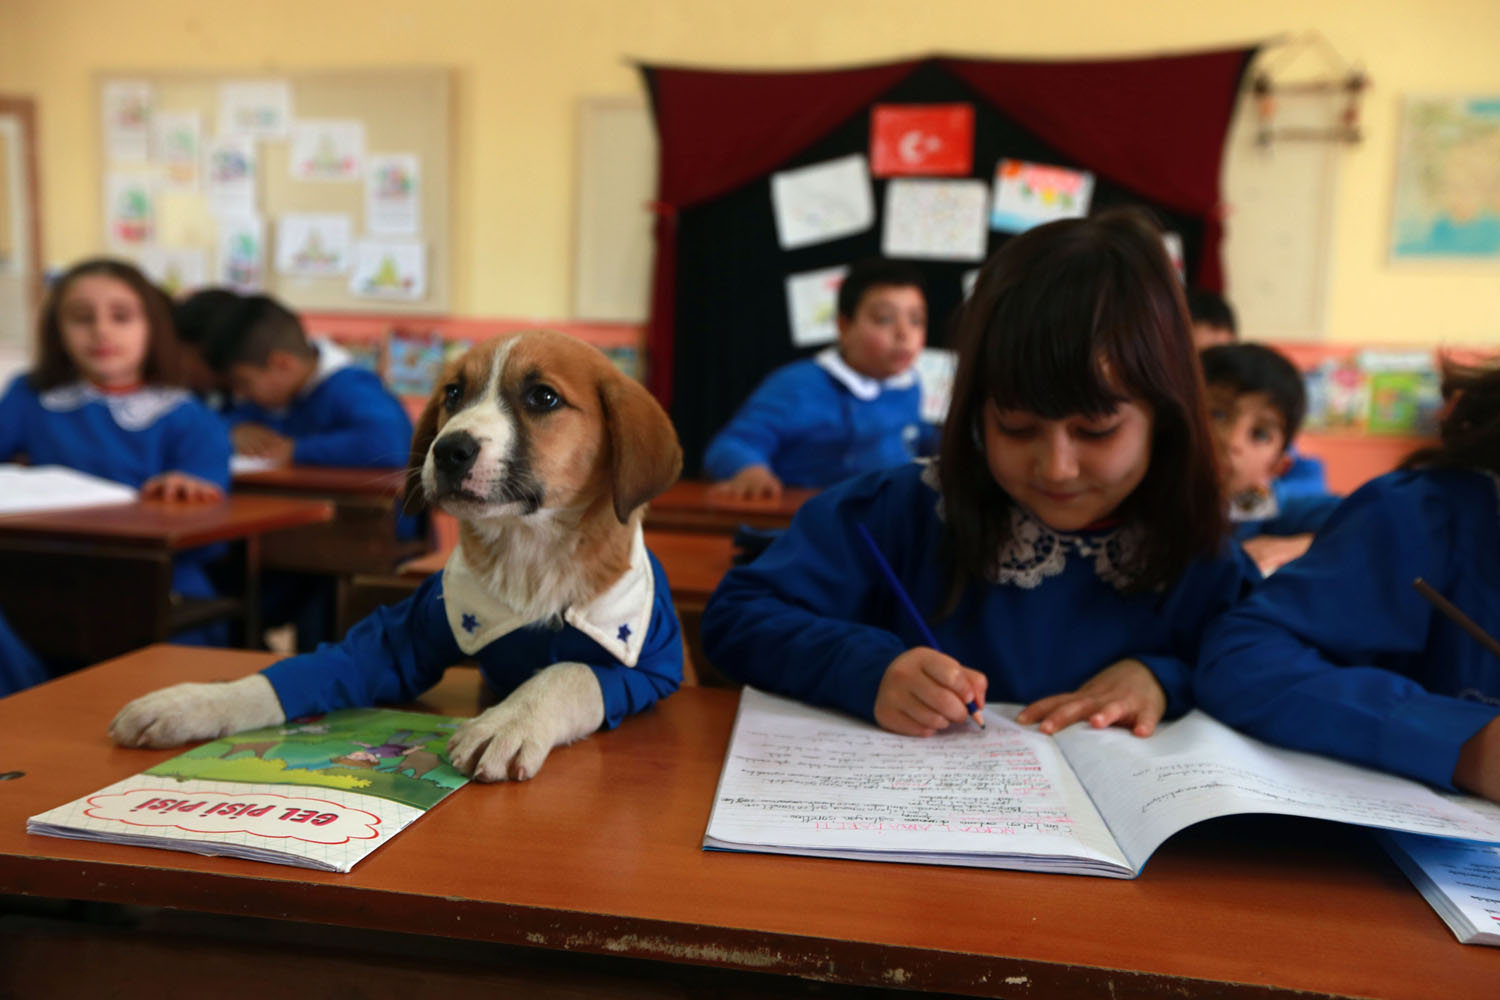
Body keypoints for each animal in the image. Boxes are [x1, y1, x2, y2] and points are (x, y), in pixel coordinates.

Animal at [109, 329, 687, 779]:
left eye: (543, 398)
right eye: (453, 393)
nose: (449, 450)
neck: (530, 555)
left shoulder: (648, 664)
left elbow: (572, 672)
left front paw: (508, 719)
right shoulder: (401, 634)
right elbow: (301, 670)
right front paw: (197, 701)